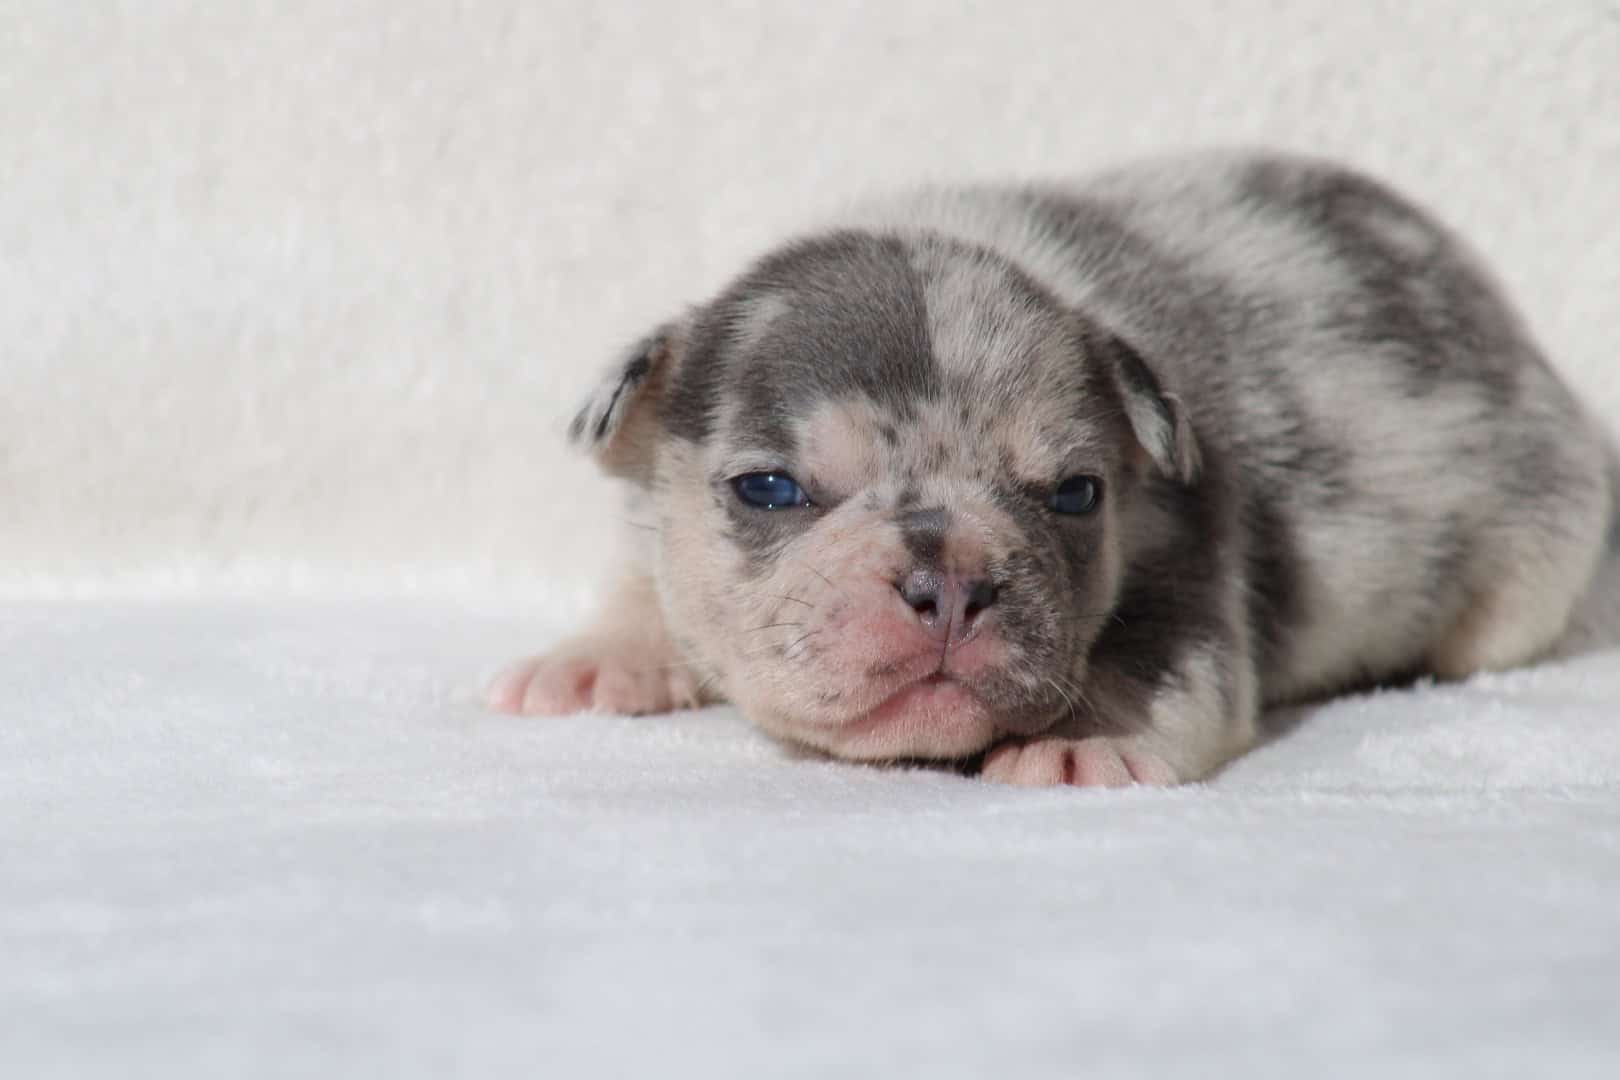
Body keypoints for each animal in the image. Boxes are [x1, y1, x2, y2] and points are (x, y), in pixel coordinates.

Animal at [486, 152, 1613, 790]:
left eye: (1075, 494)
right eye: (768, 489)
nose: (949, 582)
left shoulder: (1186, 548)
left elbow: (1155, 658)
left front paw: (1082, 742)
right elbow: (645, 575)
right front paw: (596, 657)